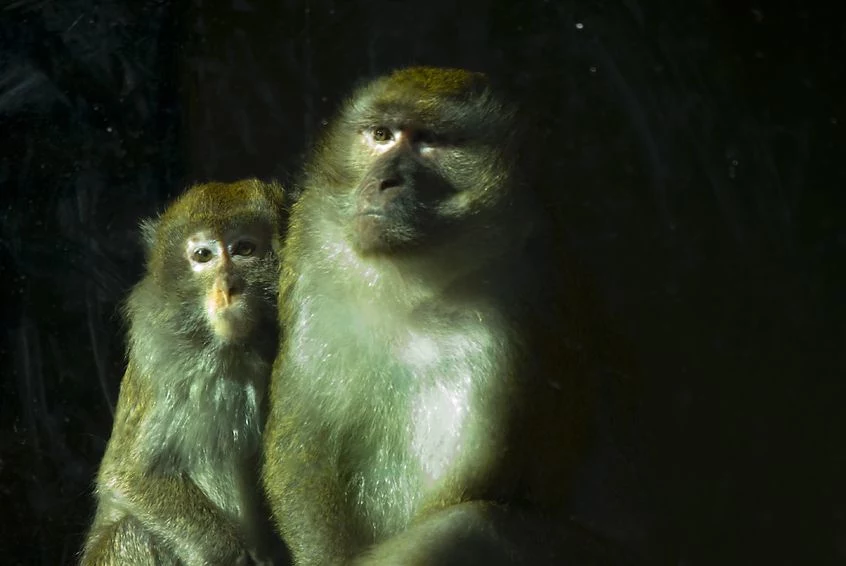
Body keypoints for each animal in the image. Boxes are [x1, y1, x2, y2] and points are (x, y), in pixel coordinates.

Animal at [83, 181, 288, 566]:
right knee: (132, 533)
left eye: (244, 249)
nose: (226, 287)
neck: (231, 352)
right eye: (203, 255)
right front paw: (230, 553)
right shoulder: (170, 370)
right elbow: (129, 477)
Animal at [266, 69, 624, 564]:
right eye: (381, 135)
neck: (411, 285)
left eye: (428, 142)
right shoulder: (313, 244)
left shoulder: (523, 288)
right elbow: (304, 439)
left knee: (470, 524)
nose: (384, 181)